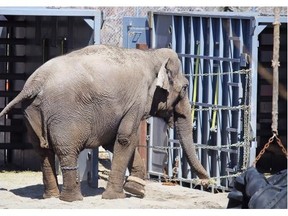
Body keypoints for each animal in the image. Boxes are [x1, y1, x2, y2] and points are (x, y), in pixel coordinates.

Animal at [0, 44, 208, 202]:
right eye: (185, 87)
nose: (207, 181)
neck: (151, 55)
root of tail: (33, 84)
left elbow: (115, 140)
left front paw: (136, 190)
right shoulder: (137, 100)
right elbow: (126, 138)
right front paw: (117, 196)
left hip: (32, 112)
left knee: (42, 151)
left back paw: (51, 197)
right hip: (64, 116)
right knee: (66, 151)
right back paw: (72, 199)